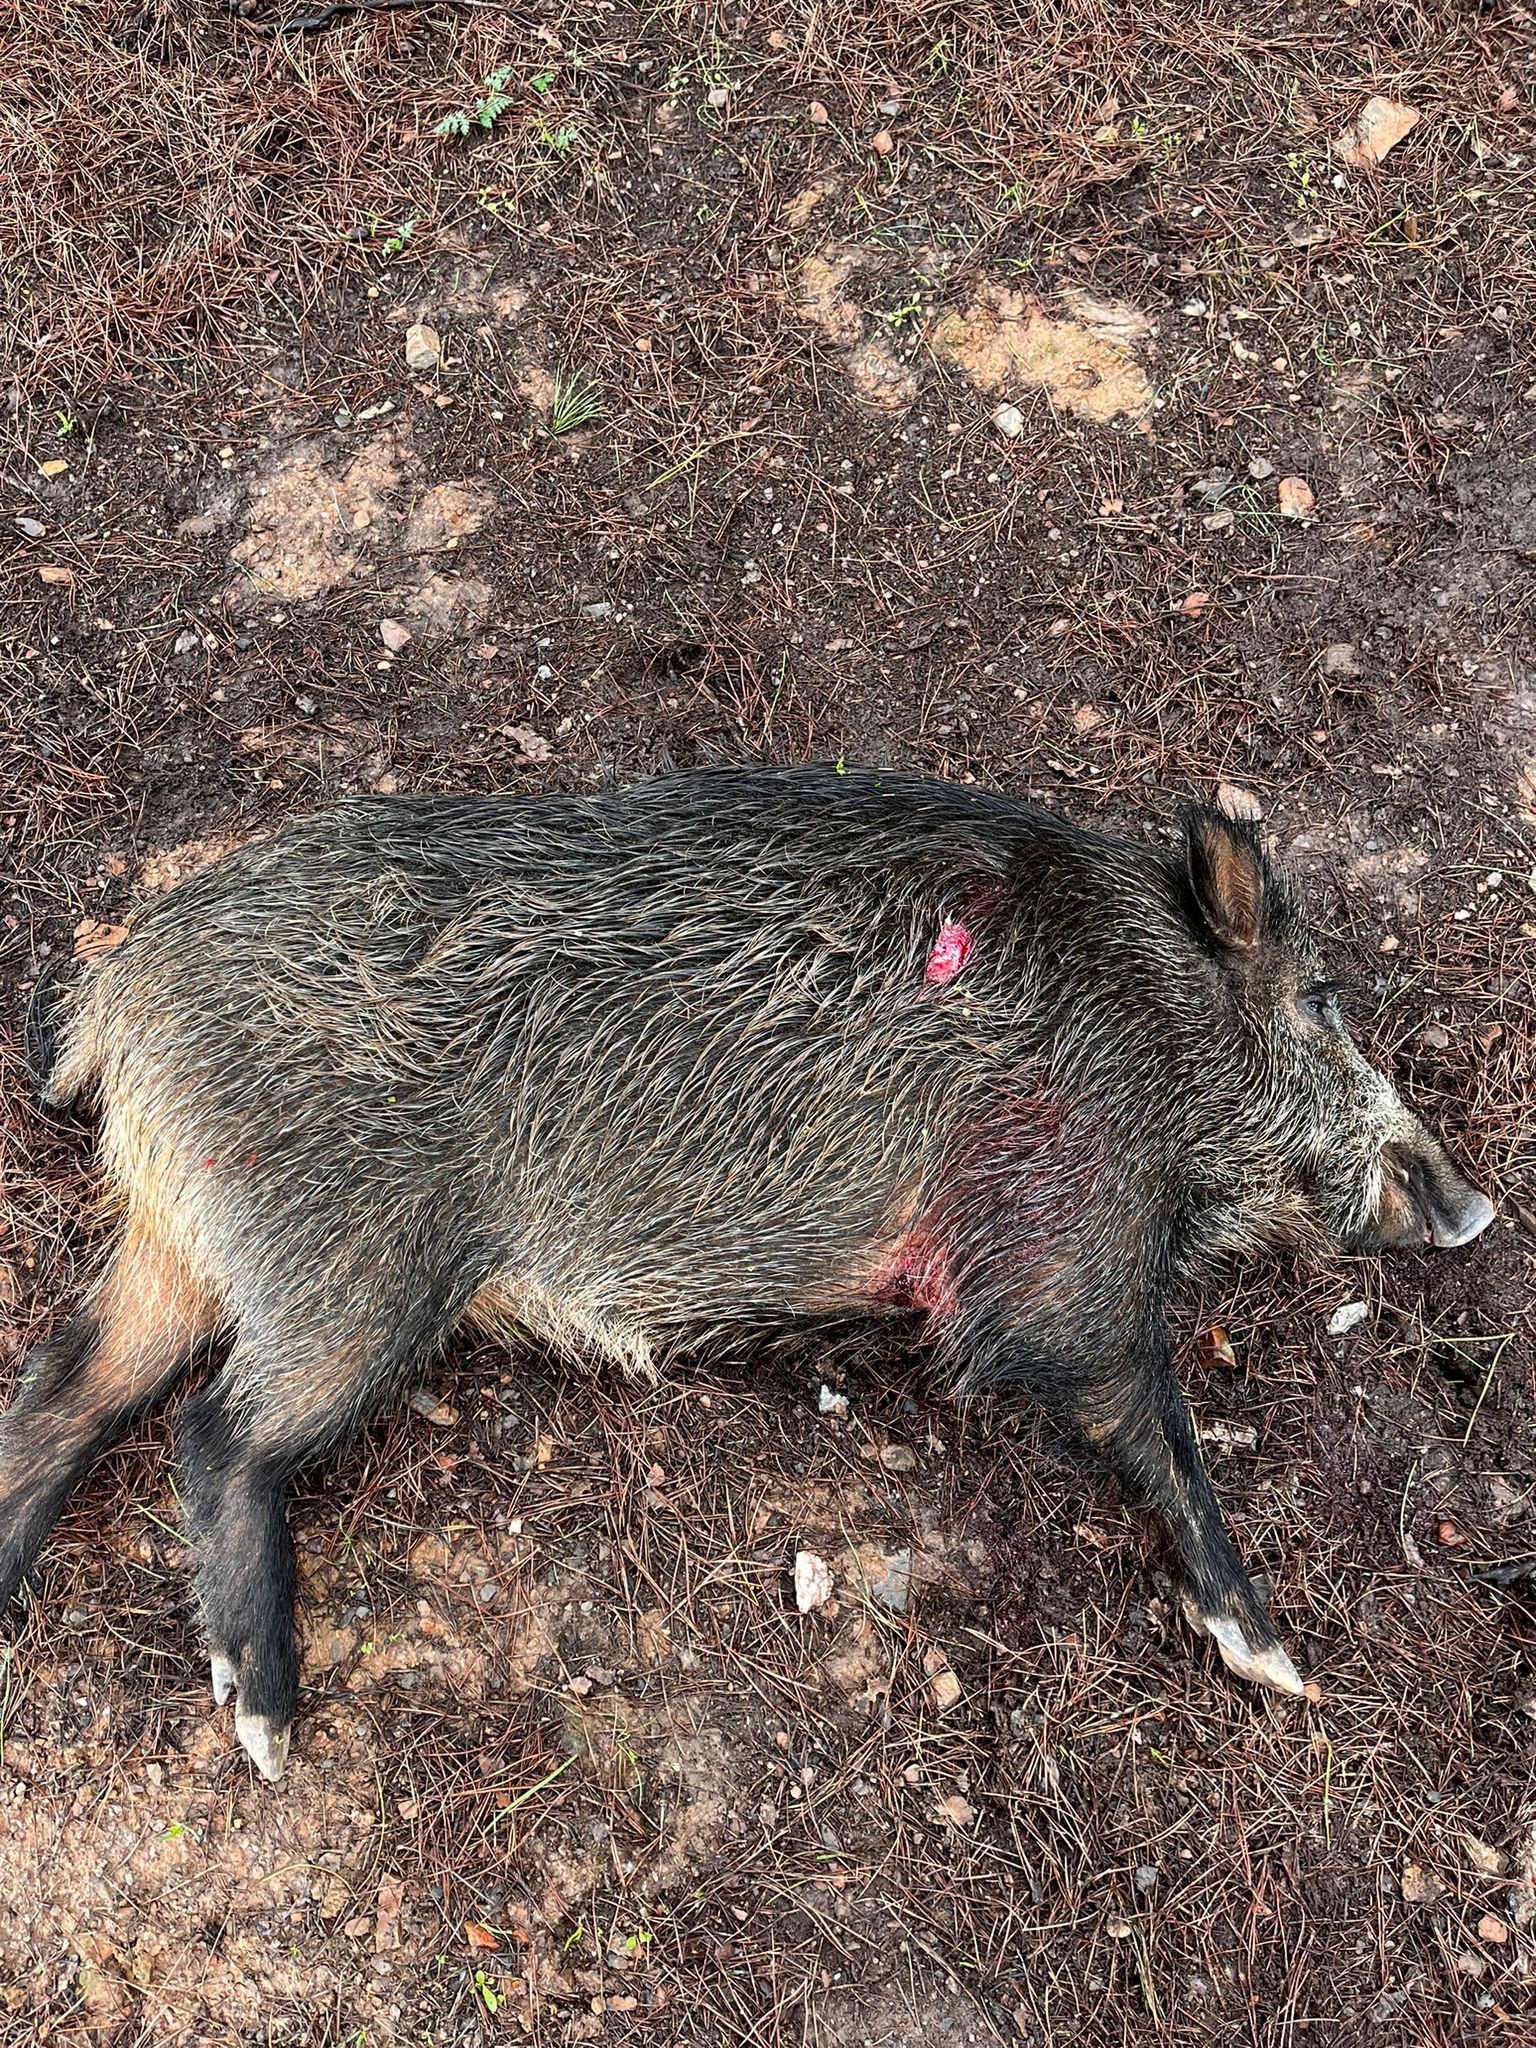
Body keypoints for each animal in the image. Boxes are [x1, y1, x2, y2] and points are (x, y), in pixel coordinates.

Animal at [2, 767, 1494, 1778]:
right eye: (1321, 1000)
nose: (1475, 1204)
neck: (1153, 1023)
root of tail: (121, 996)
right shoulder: (1053, 1237)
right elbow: (1149, 1418)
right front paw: (1283, 1666)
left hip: (189, 1245)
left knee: (64, 1387)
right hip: (347, 1265)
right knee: (214, 1432)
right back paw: (268, 1723)